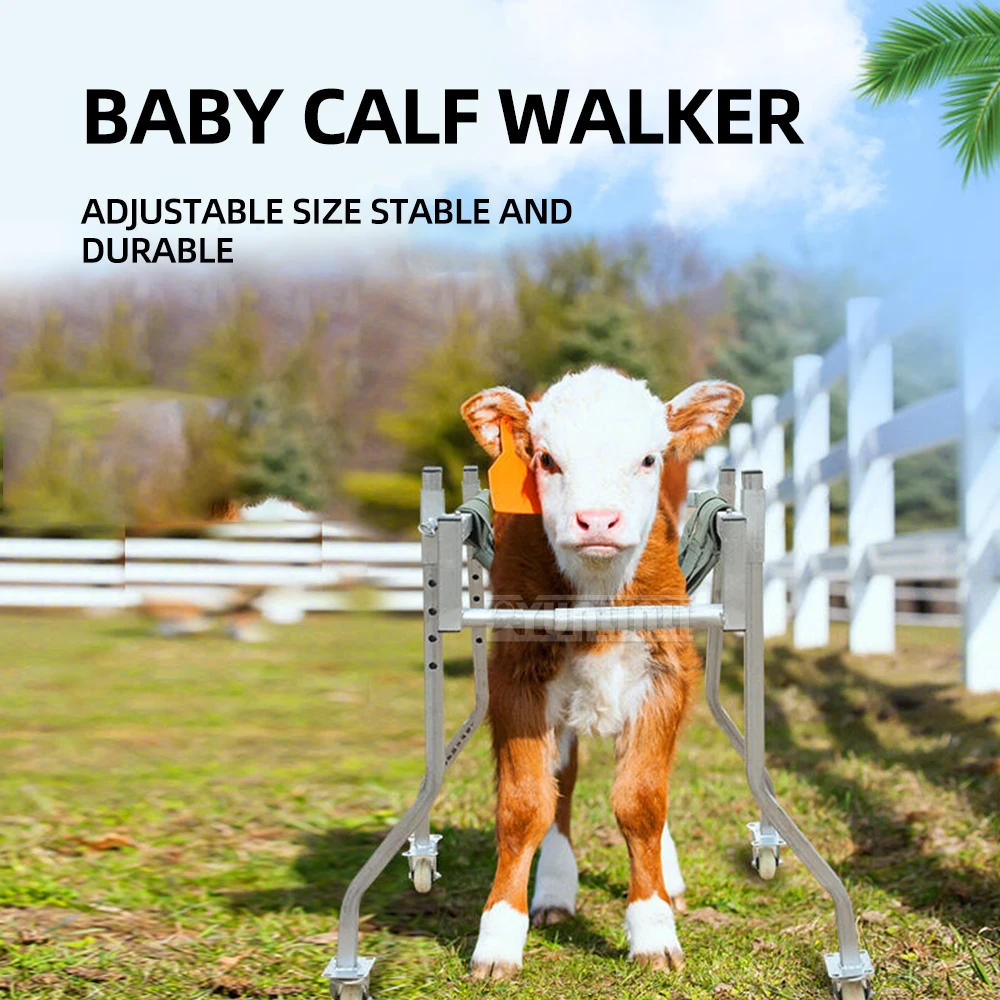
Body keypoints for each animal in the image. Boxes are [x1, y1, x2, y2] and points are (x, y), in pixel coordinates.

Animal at [460, 365, 743, 980]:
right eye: (546, 459)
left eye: (648, 458)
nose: (596, 520)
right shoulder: (516, 676)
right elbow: (526, 806)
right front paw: (498, 938)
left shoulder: (666, 672)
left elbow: (641, 802)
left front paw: (653, 929)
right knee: (561, 786)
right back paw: (554, 890)